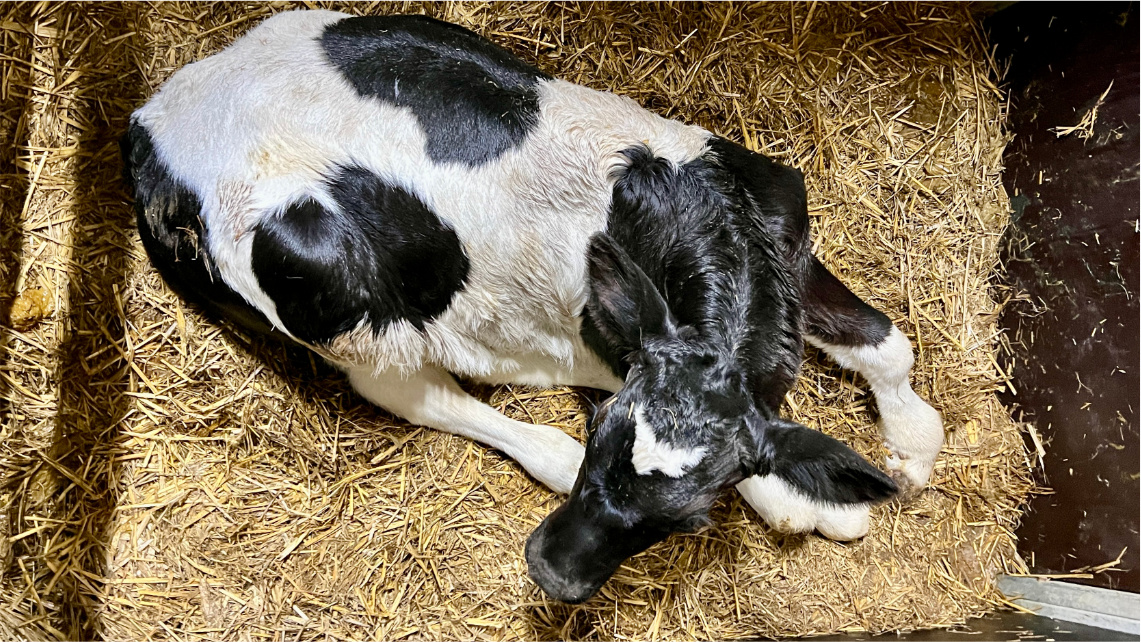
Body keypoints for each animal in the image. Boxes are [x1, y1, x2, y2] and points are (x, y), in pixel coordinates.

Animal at [122, 8, 944, 602]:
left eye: (688, 519)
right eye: (601, 432)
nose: (551, 571)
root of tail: (149, 124)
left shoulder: (785, 240)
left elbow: (883, 342)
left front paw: (909, 442)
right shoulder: (615, 352)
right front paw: (817, 505)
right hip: (344, 313)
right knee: (413, 393)